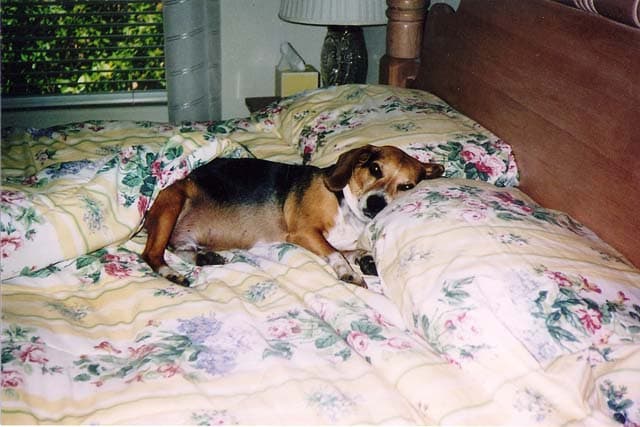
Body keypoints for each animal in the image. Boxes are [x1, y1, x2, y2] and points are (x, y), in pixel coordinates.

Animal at [141, 145, 442, 290]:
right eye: (375, 168)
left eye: (406, 186)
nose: (377, 203)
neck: (346, 208)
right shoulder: (304, 233)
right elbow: (335, 254)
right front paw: (347, 271)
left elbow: (350, 251)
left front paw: (366, 260)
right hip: (173, 203)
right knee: (151, 254)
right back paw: (172, 274)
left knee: (177, 248)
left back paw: (205, 258)